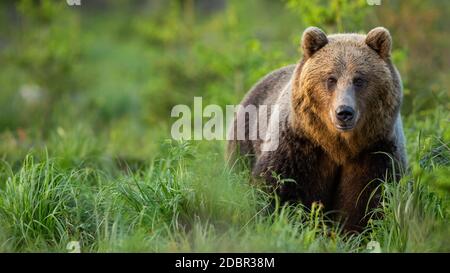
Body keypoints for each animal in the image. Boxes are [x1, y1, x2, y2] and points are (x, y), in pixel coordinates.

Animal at [227, 26, 406, 230]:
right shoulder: (298, 146)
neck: (338, 145)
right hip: (246, 137)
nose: (344, 112)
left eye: (359, 79)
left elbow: (369, 198)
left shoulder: (376, 150)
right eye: (331, 79)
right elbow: (277, 187)